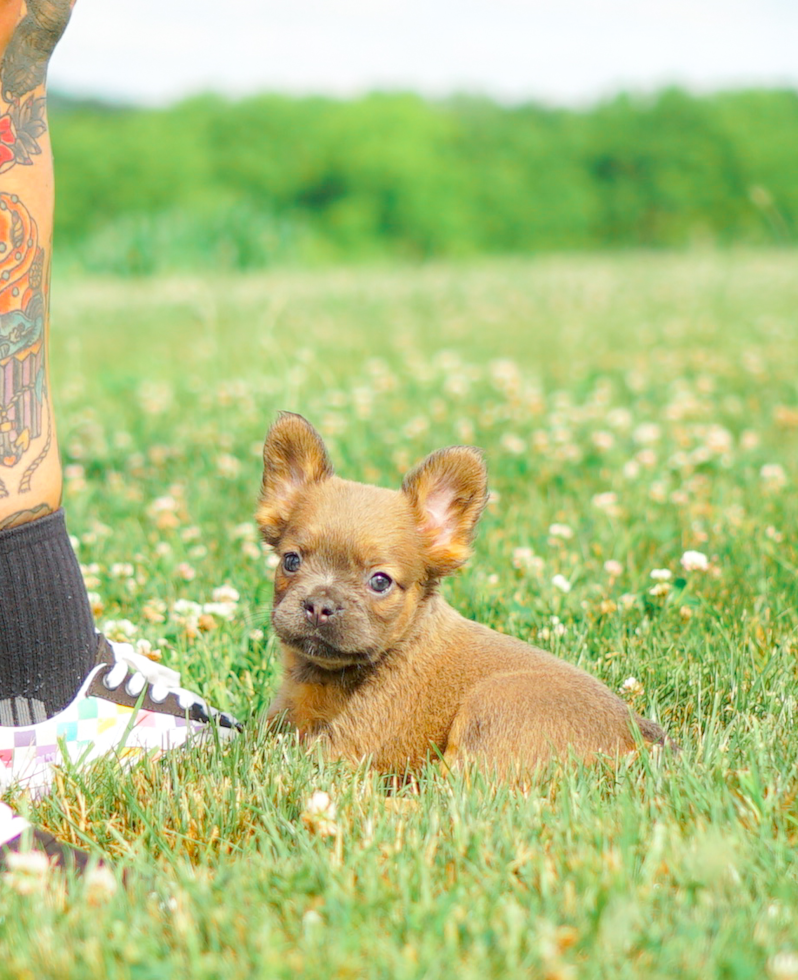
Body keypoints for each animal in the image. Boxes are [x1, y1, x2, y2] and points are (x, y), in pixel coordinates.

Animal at [258, 410, 668, 776]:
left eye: (380, 582)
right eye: (291, 561)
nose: (319, 605)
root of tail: (640, 741)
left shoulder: (347, 747)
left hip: (492, 707)